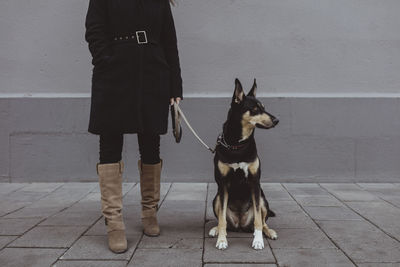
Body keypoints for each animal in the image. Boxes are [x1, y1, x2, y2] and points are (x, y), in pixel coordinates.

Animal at [209, 78, 278, 250]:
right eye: (254, 109)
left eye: (264, 107)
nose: (276, 120)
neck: (237, 145)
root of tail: (240, 224)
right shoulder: (223, 184)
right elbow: (222, 220)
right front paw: (221, 240)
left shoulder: (254, 182)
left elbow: (259, 220)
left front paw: (258, 240)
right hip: (216, 199)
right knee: (223, 220)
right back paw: (215, 229)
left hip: (262, 199)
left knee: (263, 221)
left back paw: (270, 232)